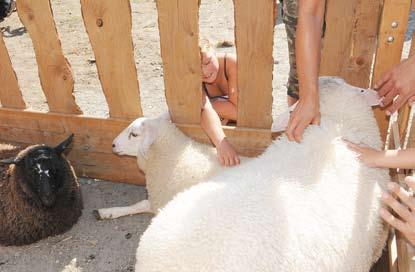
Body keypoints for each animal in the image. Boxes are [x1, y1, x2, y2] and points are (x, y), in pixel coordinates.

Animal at [95, 112, 247, 219]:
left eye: (134, 134)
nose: (113, 145)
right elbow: (140, 204)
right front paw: (107, 212)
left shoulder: (163, 200)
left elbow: (141, 204)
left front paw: (110, 211)